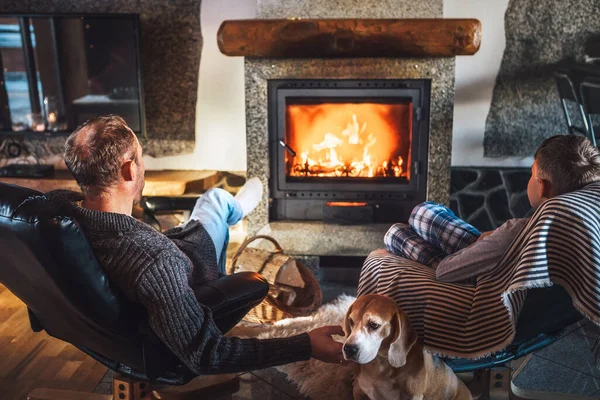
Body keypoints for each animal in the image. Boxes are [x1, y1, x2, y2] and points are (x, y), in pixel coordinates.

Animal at [344, 294, 472, 400]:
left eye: (374, 325)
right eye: (351, 321)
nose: (349, 349)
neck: (379, 364)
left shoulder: (413, 396)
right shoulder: (359, 392)